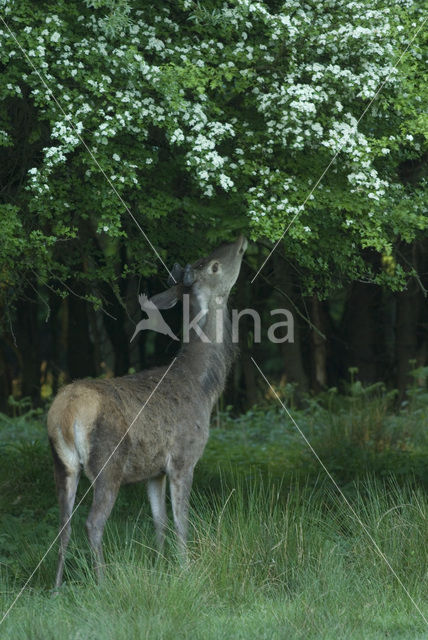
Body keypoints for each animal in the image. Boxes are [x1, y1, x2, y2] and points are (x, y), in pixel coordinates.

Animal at [46, 234, 247, 584]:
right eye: (213, 265)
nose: (241, 239)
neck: (203, 389)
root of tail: (64, 415)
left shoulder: (153, 471)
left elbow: (159, 521)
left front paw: (160, 566)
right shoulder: (183, 457)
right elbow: (182, 522)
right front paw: (186, 569)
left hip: (63, 465)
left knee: (63, 527)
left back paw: (57, 587)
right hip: (108, 462)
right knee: (93, 523)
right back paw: (102, 583)